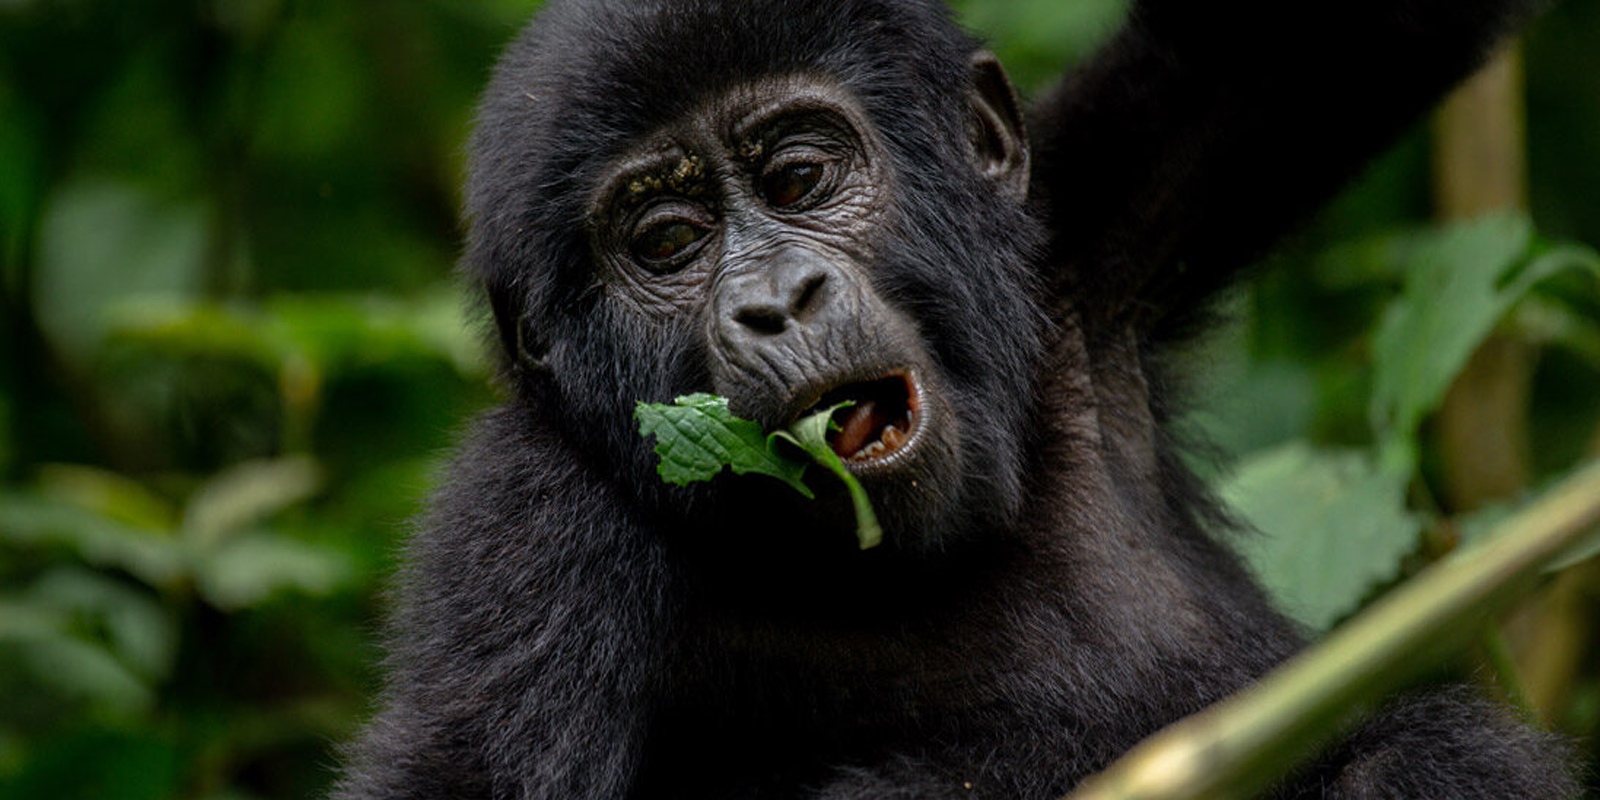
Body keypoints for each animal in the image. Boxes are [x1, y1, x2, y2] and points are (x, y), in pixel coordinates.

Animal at [334, 1, 1574, 800]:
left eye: (799, 177)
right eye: (669, 242)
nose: (776, 302)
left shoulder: (1079, 235)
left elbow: (1335, 32)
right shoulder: (524, 524)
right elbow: (461, 771)